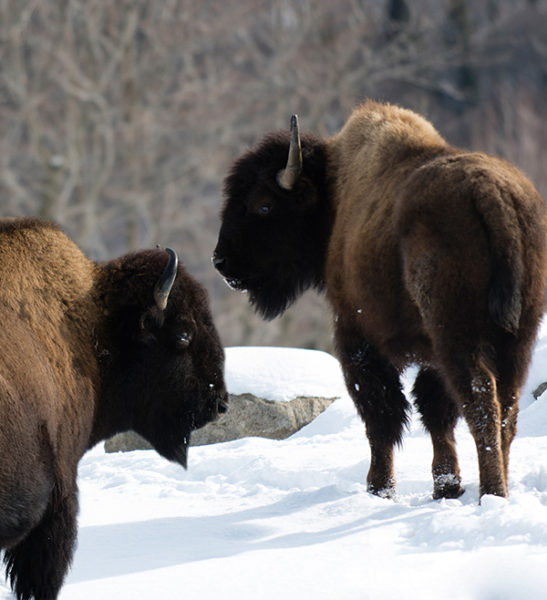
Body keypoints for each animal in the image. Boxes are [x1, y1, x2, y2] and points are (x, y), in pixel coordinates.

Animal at [214, 102, 547, 502]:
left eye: (263, 206)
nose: (221, 262)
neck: (333, 194)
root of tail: (491, 194)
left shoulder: (356, 336)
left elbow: (382, 415)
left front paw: (379, 488)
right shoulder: (430, 356)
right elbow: (434, 414)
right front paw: (446, 487)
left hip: (457, 335)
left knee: (480, 401)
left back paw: (491, 492)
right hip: (517, 337)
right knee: (505, 408)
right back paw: (500, 490)